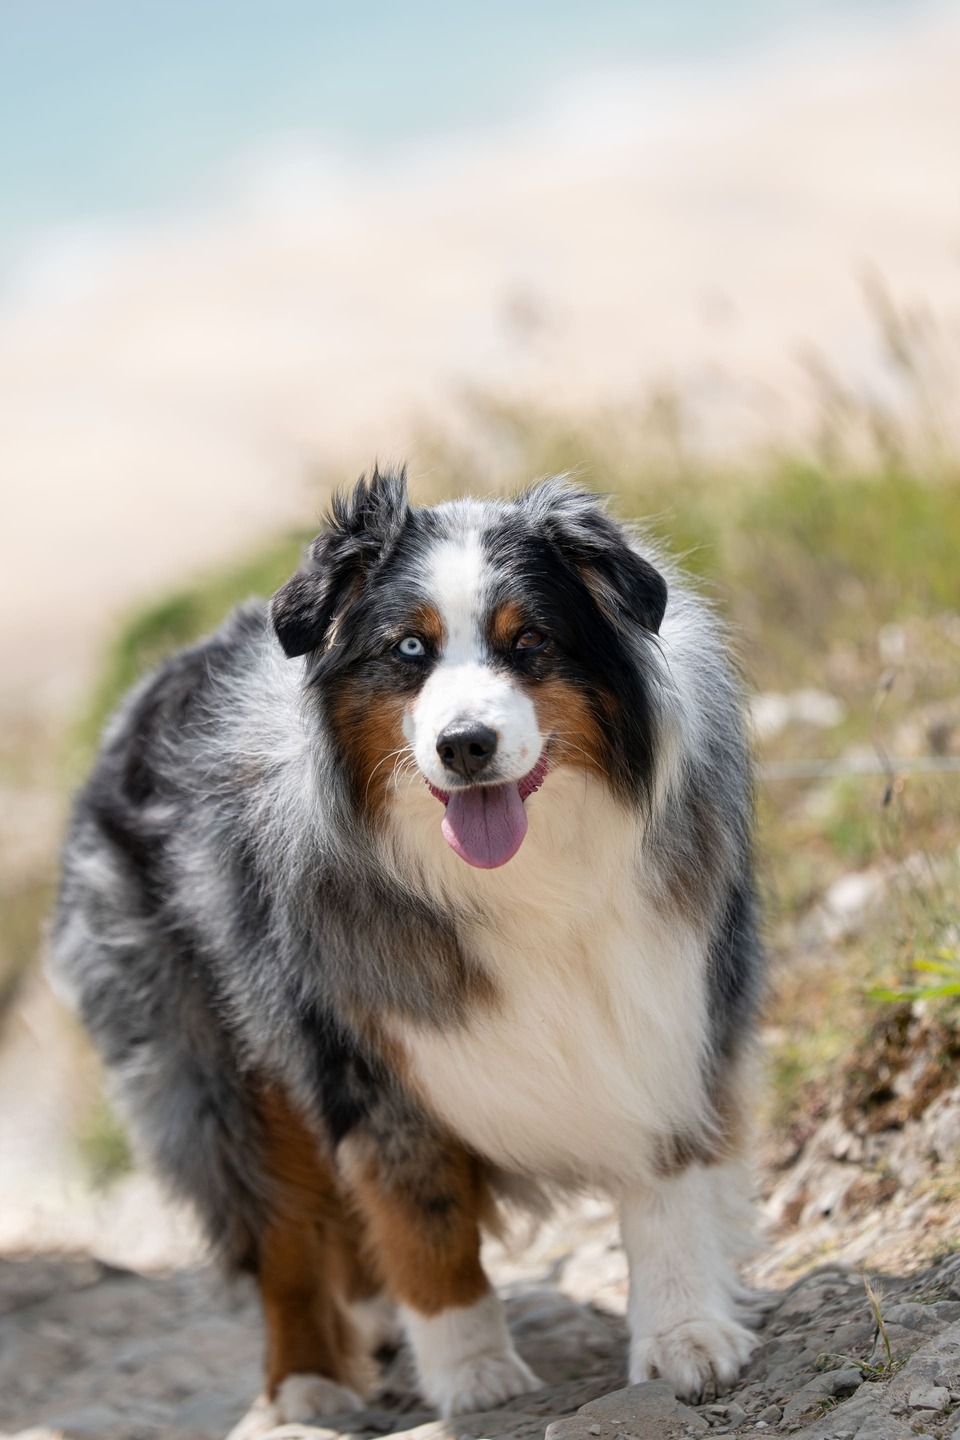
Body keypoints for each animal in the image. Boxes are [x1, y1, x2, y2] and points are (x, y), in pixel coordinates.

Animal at [54, 466, 765, 1434]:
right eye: (409, 650)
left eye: (530, 640)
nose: (465, 746)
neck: (529, 874)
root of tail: (144, 688)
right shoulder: (366, 1059)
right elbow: (424, 1225)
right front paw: (475, 1373)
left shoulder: (665, 995)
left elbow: (668, 1186)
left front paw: (684, 1334)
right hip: (219, 1068)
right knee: (281, 1231)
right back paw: (303, 1381)